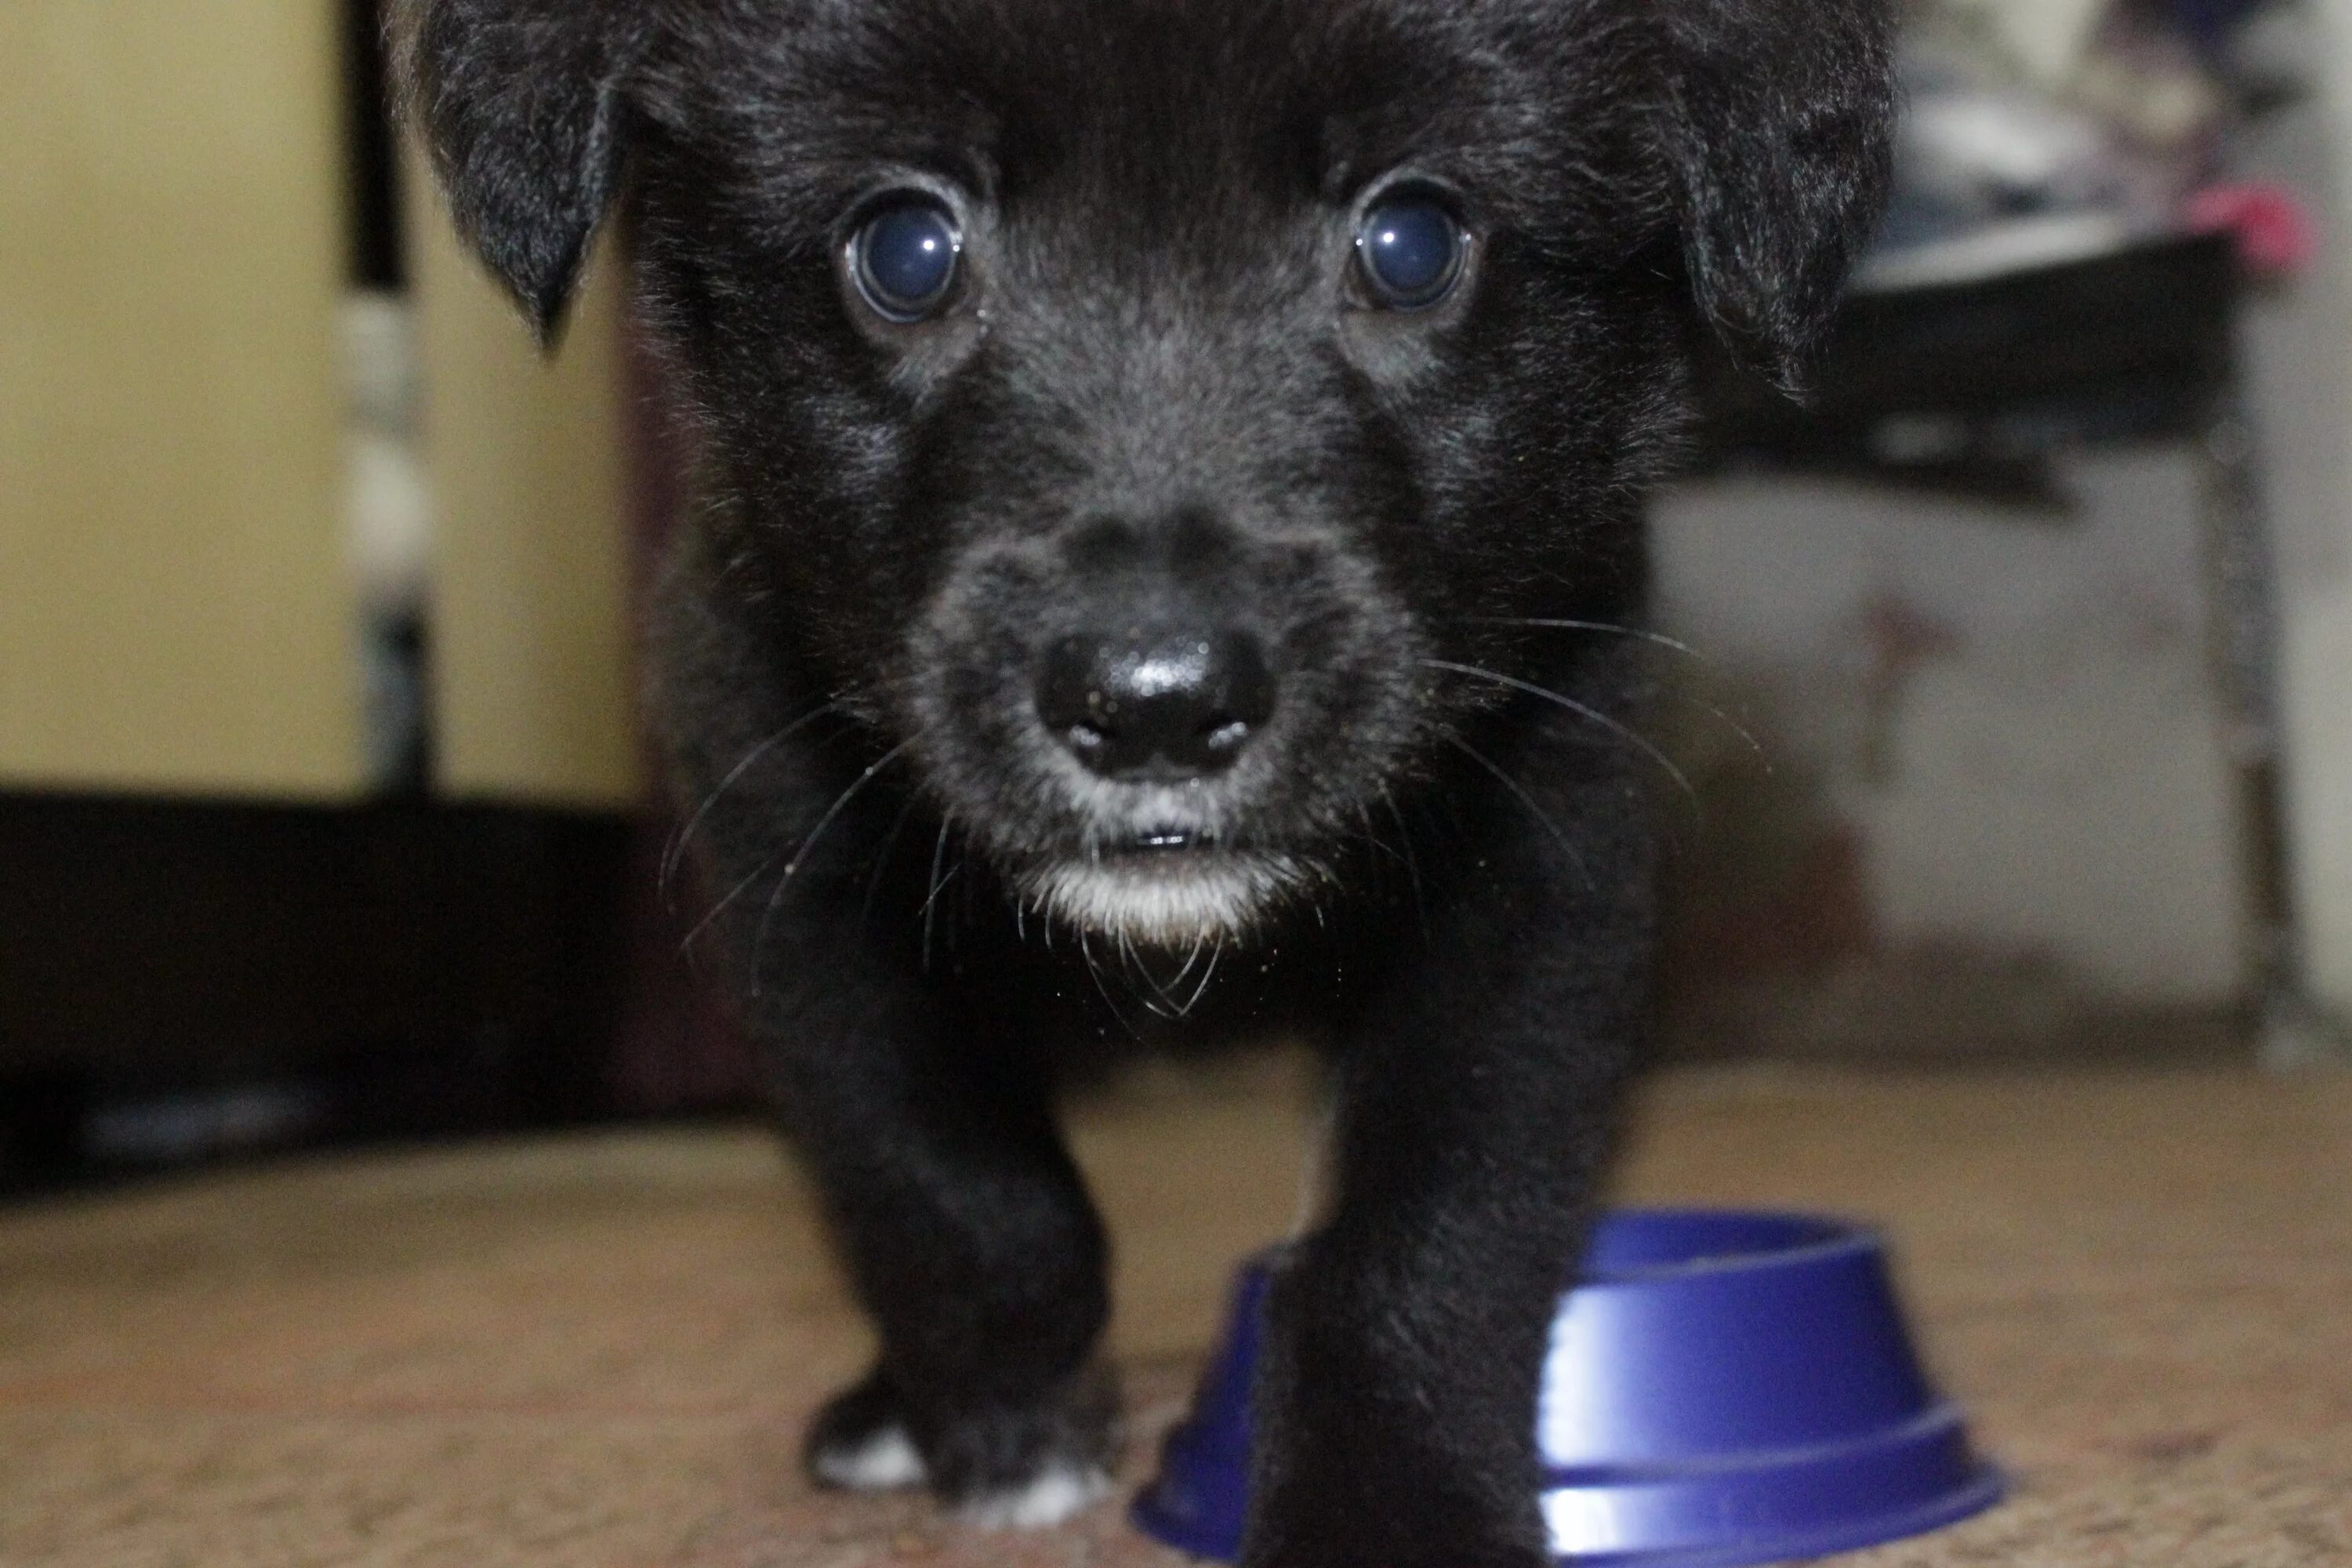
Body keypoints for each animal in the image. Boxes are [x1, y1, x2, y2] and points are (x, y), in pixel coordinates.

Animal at [386, 5, 1891, 1561]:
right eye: (905, 250)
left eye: (1413, 240)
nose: (1156, 705)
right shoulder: (781, 842)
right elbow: (935, 1167)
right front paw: (1008, 1418)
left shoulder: (1547, 855)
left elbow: (1430, 1222)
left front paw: (1384, 1507)